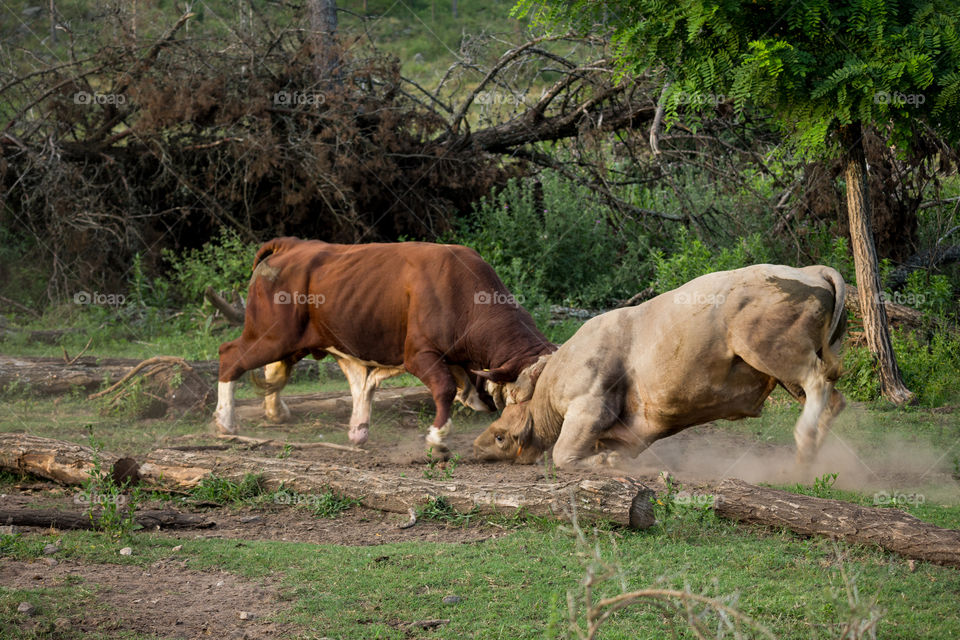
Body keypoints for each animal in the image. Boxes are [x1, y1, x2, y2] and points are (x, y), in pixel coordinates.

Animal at [474, 262, 848, 468]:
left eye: (501, 437)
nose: (476, 447)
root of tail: (810, 271)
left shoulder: (589, 406)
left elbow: (563, 454)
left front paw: (606, 462)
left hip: (770, 350)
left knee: (819, 381)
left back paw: (804, 439)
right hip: (788, 367)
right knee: (834, 398)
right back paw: (811, 456)